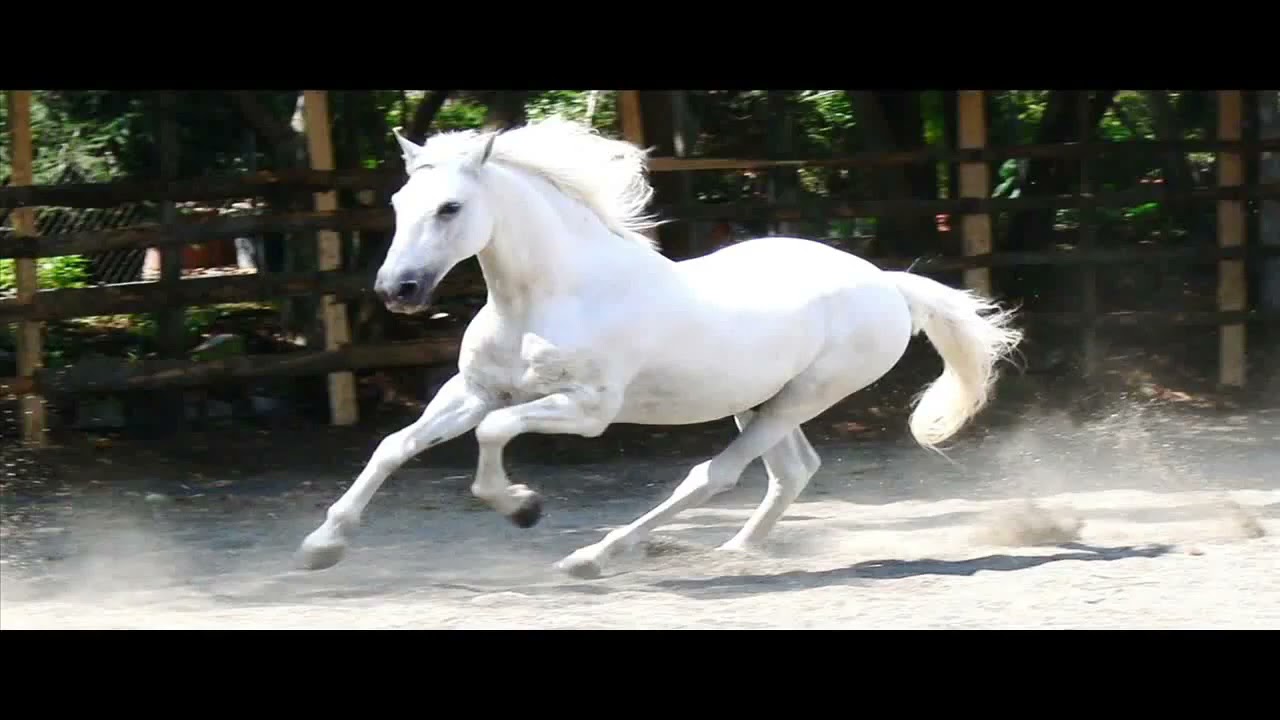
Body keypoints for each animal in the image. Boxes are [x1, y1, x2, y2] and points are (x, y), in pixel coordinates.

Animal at [296, 116, 1023, 579]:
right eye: (398, 201)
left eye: (450, 208)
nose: (397, 290)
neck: (544, 297)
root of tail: (886, 283)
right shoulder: (475, 389)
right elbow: (394, 446)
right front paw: (321, 546)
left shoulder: (586, 409)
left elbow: (494, 434)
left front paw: (522, 507)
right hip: (758, 399)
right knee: (792, 471)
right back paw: (735, 550)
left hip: (806, 396)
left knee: (714, 476)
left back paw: (593, 558)